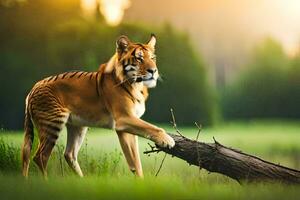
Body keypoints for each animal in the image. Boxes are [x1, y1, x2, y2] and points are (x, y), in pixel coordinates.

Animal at [21, 34, 175, 178]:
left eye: (153, 58)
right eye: (139, 58)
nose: (153, 71)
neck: (137, 85)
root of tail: (33, 88)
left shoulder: (126, 126)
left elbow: (135, 159)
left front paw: (140, 181)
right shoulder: (124, 118)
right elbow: (154, 128)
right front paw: (168, 140)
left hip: (77, 126)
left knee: (69, 154)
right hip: (52, 124)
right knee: (40, 156)